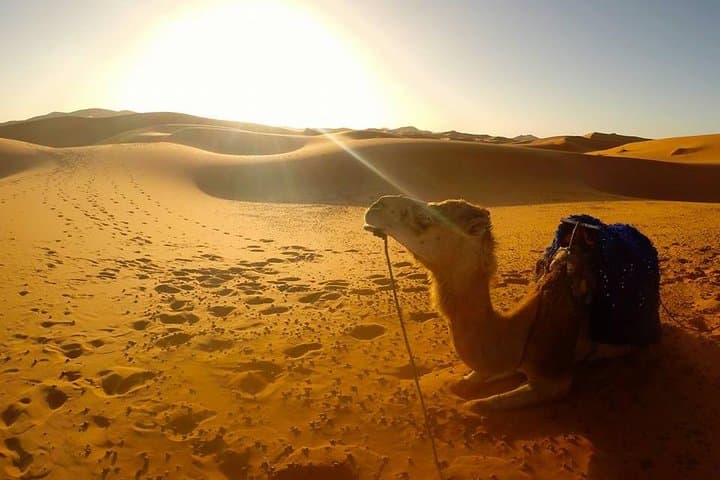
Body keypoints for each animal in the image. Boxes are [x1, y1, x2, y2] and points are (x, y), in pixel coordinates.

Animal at [364, 195, 641, 410]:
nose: (375, 205)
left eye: (427, 219)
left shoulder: (553, 379)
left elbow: (478, 404)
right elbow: (468, 380)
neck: (522, 329)